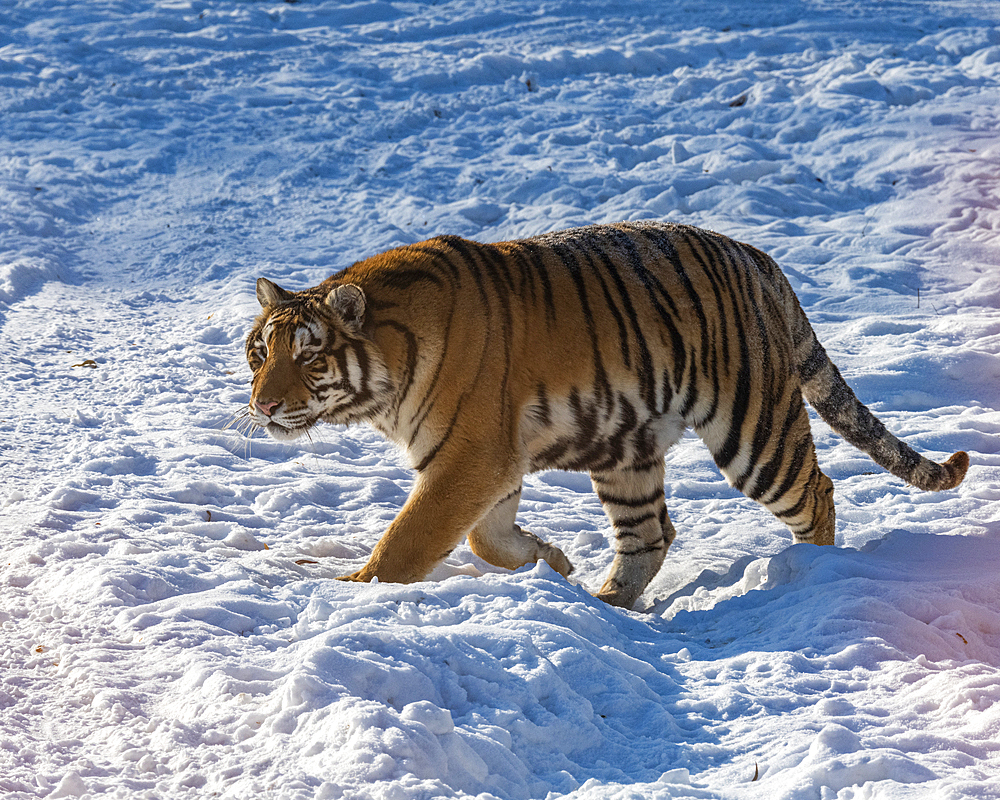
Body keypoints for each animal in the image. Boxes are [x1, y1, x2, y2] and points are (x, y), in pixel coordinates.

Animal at [244, 219, 968, 608]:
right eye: (259, 352)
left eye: (309, 357)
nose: (263, 404)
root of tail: (762, 261)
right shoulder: (489, 461)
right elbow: (484, 537)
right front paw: (551, 559)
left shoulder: (467, 457)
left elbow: (407, 540)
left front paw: (355, 589)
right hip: (626, 449)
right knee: (649, 534)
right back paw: (607, 603)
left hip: (753, 431)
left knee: (817, 491)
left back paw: (810, 578)